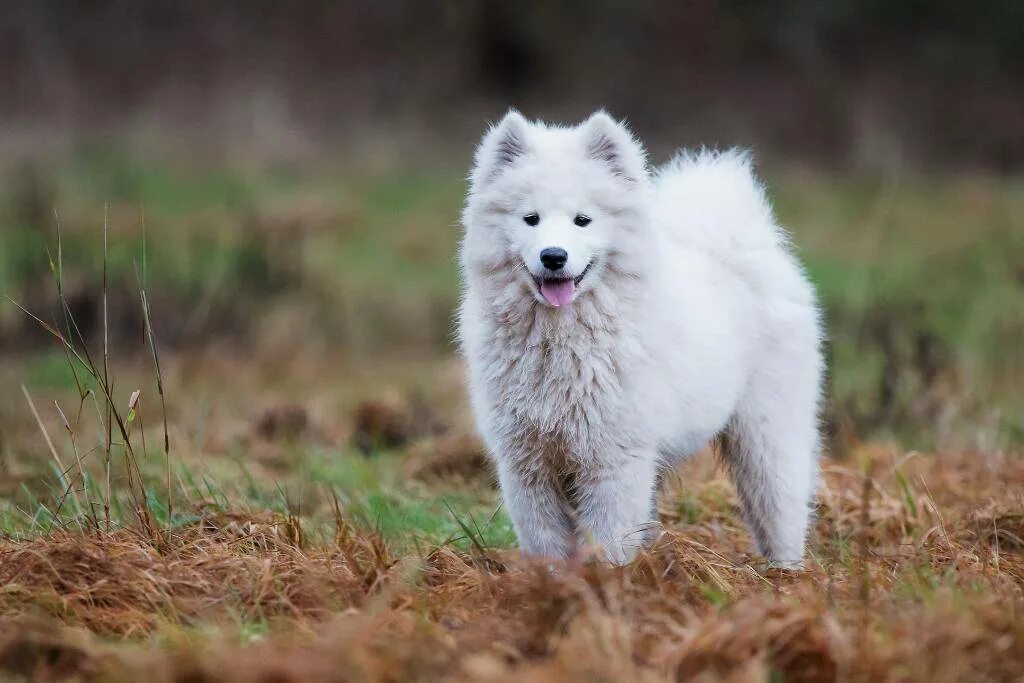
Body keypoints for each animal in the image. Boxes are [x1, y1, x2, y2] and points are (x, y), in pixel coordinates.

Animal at [456, 109, 823, 565]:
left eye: (582, 220)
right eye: (531, 219)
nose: (553, 256)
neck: (560, 341)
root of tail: (735, 248)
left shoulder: (612, 463)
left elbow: (609, 541)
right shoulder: (526, 466)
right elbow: (548, 546)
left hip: (767, 437)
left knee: (780, 509)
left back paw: (787, 572)